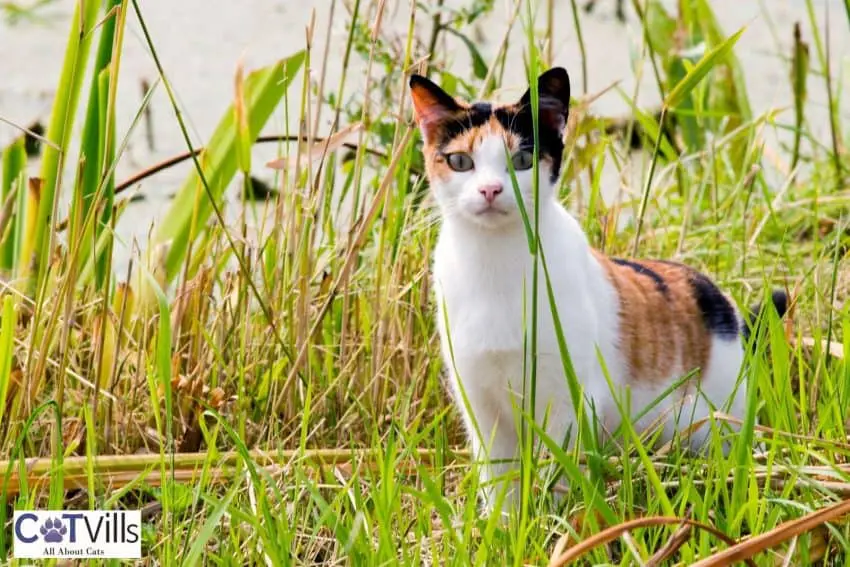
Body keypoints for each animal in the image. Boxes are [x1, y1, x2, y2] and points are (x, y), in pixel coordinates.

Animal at [408, 67, 784, 520]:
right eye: (461, 161)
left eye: (522, 161)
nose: (491, 190)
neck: (495, 264)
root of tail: (724, 305)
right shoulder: (481, 405)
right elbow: (501, 485)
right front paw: (504, 528)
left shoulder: (569, 403)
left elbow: (557, 478)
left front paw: (550, 526)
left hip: (720, 426)